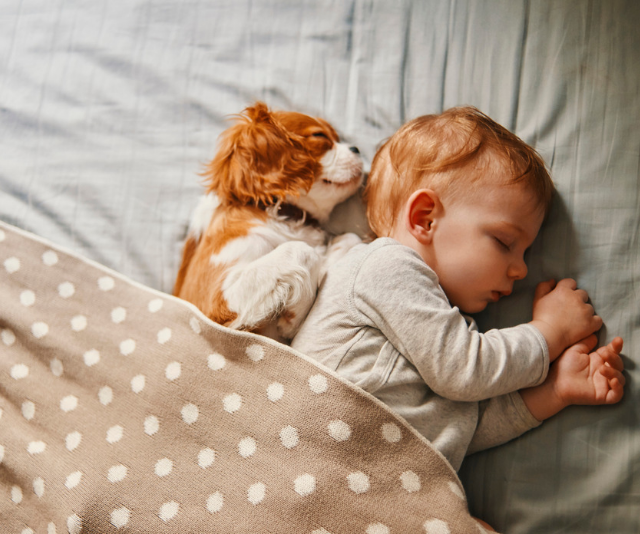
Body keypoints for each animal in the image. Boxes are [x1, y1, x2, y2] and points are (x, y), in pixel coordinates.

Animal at [175, 102, 362, 342]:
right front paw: (294, 315)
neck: (284, 215)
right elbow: (301, 249)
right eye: (319, 136)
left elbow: (350, 237)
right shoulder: (211, 303)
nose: (356, 149)